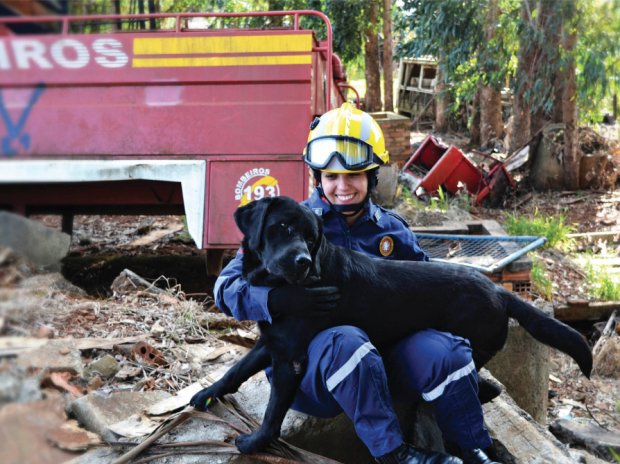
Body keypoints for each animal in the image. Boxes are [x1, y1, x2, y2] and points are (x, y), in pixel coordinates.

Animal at [191, 195, 592, 454]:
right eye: (282, 227)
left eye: (311, 238)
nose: (303, 262)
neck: (286, 288)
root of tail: (497, 289)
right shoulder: (272, 342)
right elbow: (236, 369)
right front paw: (206, 394)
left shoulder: (290, 360)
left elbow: (274, 411)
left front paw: (256, 442)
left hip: (471, 342)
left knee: (474, 382)